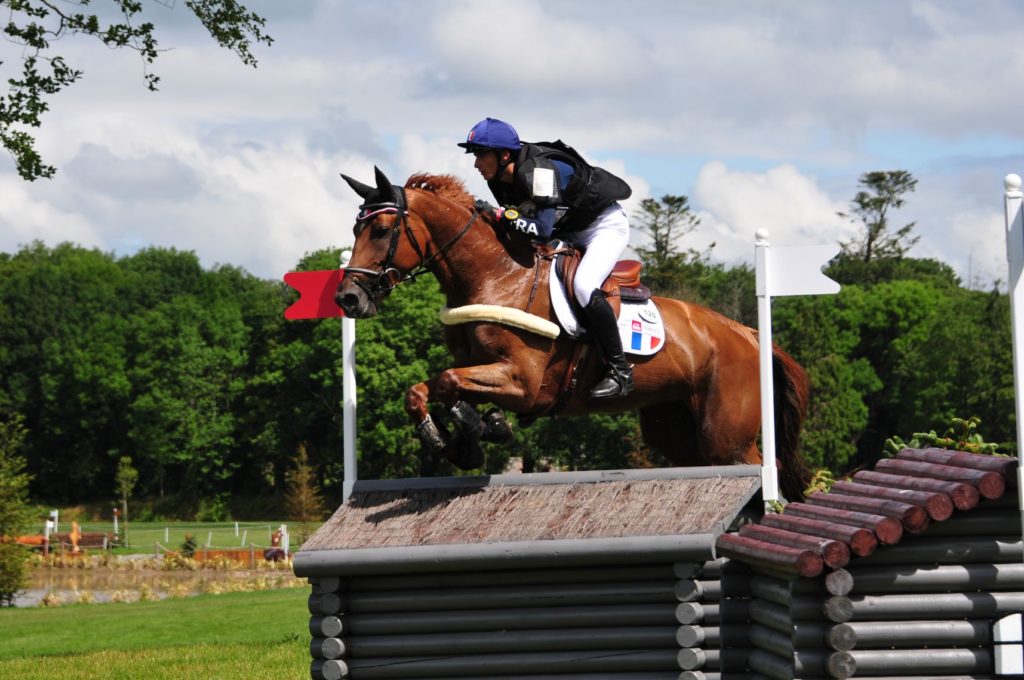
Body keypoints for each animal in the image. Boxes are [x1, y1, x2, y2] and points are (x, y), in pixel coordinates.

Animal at [339, 166, 811, 497]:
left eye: (381, 230)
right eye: (355, 229)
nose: (348, 298)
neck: (495, 274)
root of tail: (748, 334)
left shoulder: (524, 383)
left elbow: (446, 383)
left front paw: (463, 433)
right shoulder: (482, 368)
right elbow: (432, 389)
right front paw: (469, 436)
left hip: (726, 437)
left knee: (762, 467)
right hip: (676, 430)